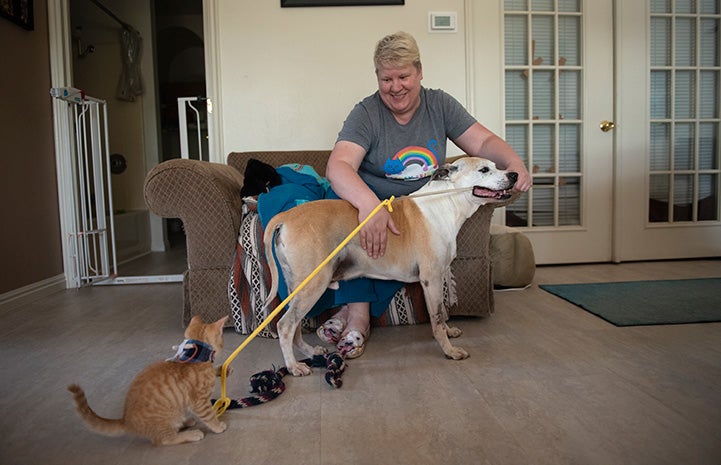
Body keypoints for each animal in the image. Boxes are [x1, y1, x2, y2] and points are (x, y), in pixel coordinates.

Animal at [67, 314, 226, 444]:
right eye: (221, 341)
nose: (222, 345)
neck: (194, 358)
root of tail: (125, 420)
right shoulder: (200, 402)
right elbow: (209, 415)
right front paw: (218, 426)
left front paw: (221, 370)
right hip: (166, 420)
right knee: (165, 439)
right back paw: (191, 434)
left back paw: (186, 421)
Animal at [264, 158, 516, 376]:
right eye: (484, 170)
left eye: (496, 166)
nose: (513, 174)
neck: (447, 201)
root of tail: (286, 215)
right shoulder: (431, 279)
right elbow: (436, 318)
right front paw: (449, 351)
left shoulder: (437, 278)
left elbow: (442, 312)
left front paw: (450, 331)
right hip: (313, 285)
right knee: (285, 326)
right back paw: (294, 366)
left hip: (297, 287)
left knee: (294, 326)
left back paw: (309, 352)